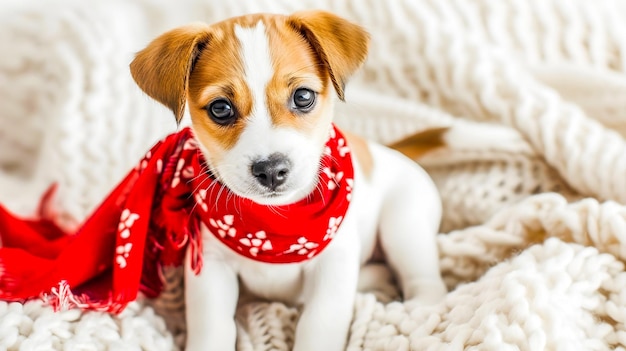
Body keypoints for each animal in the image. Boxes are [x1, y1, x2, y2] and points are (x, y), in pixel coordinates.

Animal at [130, 11, 444, 351]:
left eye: (303, 96)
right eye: (220, 108)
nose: (270, 170)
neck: (272, 224)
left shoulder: (334, 262)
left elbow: (318, 324)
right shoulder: (211, 268)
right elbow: (213, 327)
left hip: (403, 227)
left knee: (425, 278)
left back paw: (418, 307)